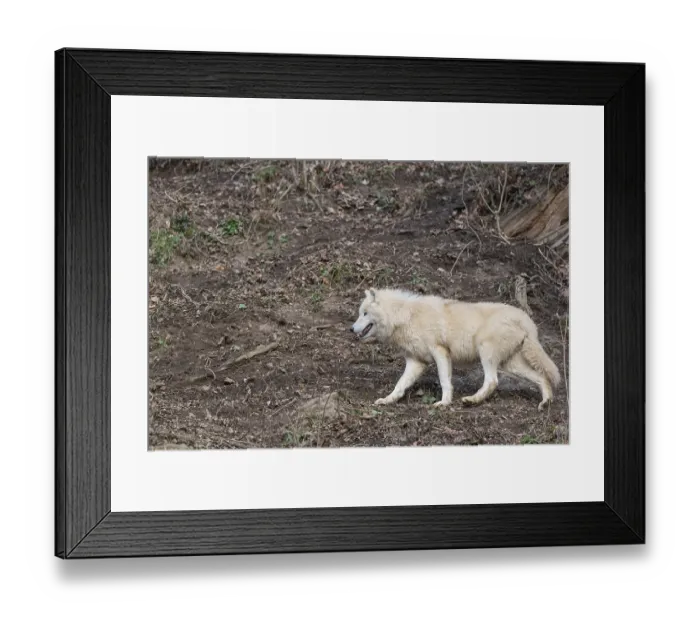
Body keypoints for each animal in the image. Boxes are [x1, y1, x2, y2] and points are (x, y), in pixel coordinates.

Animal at [351, 288, 561, 410]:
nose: (351, 329)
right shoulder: (415, 362)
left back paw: (472, 400)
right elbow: (400, 385)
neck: (404, 316)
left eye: (365, 313)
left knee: (492, 381)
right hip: (511, 365)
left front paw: (444, 403)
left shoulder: (440, 351)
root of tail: (527, 320)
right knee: (541, 377)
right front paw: (388, 400)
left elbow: (444, 381)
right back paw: (545, 402)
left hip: (486, 353)